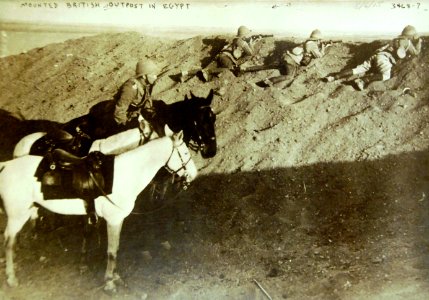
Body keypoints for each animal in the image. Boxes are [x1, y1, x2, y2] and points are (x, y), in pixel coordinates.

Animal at [0, 125, 197, 292]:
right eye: (185, 151)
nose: (194, 175)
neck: (125, 173)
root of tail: (5, 166)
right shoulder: (113, 219)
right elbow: (111, 251)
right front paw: (109, 283)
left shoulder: (115, 220)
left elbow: (115, 249)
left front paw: (115, 277)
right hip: (17, 216)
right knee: (9, 242)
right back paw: (11, 278)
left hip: (30, 210)